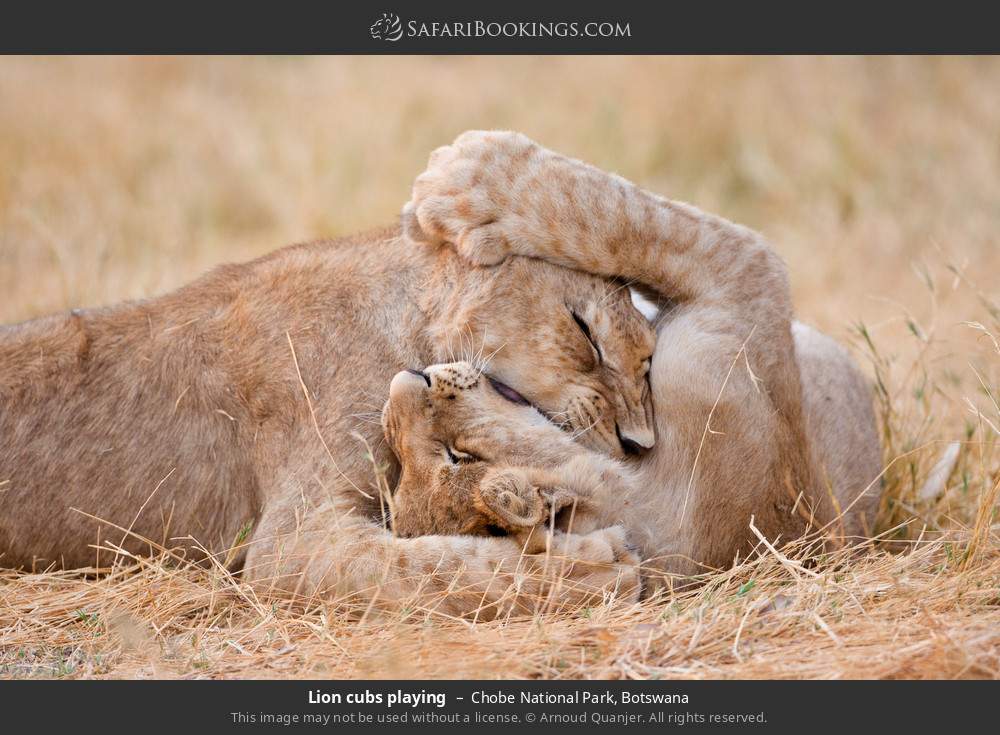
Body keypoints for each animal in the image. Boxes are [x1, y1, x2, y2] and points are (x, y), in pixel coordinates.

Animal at [0, 226, 655, 616]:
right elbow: (434, 566)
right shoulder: (287, 545)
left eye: (648, 358)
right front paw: (589, 571)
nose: (639, 444)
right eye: (584, 330)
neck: (411, 314)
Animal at [403, 131, 883, 577]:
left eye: (461, 455)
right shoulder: (744, 283)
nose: (408, 381)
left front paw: (468, 172)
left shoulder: (739, 295)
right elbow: (621, 216)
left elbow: (622, 216)